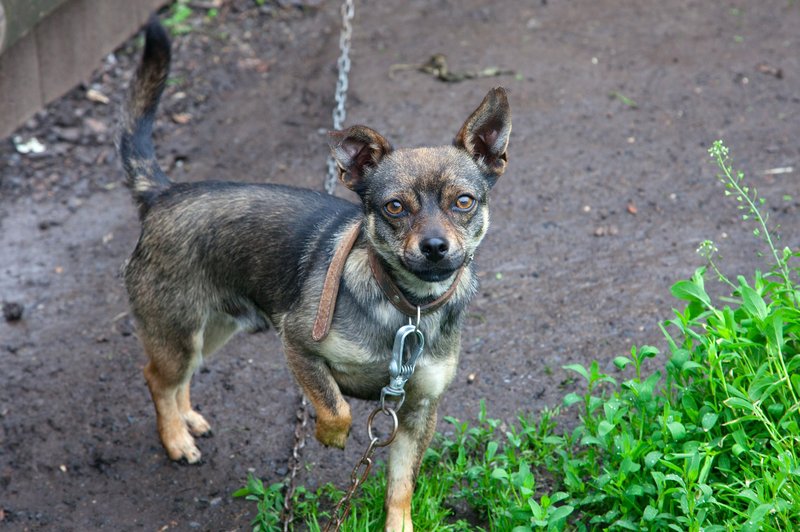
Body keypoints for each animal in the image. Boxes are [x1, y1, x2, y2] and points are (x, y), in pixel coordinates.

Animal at [119, 17, 512, 532]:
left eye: (463, 202)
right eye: (395, 208)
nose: (434, 247)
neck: (408, 307)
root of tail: (163, 194)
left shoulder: (417, 412)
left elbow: (401, 487)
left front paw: (399, 523)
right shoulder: (299, 346)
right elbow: (336, 405)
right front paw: (329, 435)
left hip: (213, 330)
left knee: (180, 378)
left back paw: (187, 421)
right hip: (177, 331)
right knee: (156, 378)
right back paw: (175, 440)